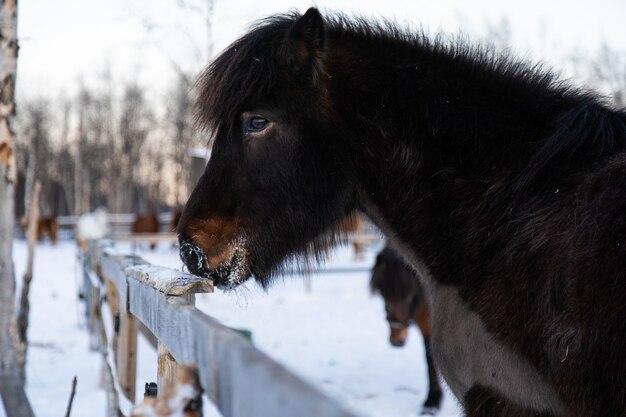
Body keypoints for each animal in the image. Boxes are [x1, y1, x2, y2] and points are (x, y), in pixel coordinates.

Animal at [368, 245, 442, 414]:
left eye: (409, 296)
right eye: (383, 293)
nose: (396, 340)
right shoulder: (424, 325)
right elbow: (429, 359)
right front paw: (431, 401)